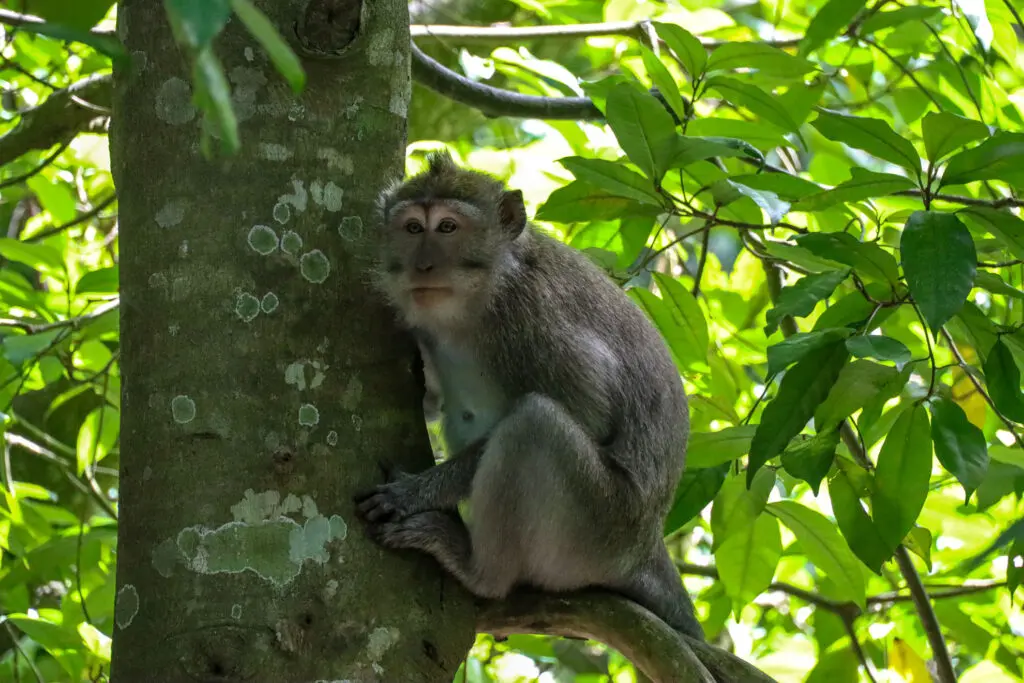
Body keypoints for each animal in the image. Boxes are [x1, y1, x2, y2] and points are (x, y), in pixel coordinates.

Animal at [354, 150, 704, 641]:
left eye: (448, 227)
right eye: (412, 229)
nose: (423, 266)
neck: (481, 299)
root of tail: (646, 545)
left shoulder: (532, 322)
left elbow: (588, 415)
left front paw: (415, 492)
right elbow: (434, 405)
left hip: (600, 527)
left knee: (535, 423)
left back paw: (479, 571)